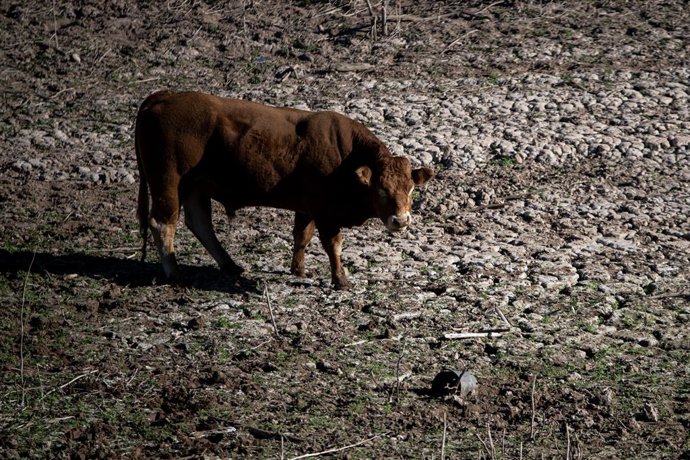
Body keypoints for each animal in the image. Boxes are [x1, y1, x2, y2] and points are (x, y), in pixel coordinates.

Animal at [135, 90, 433, 290]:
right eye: (381, 189)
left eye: (410, 189)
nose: (400, 220)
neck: (345, 156)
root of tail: (162, 96)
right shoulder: (325, 213)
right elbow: (333, 245)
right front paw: (341, 280)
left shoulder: (307, 207)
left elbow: (302, 236)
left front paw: (298, 270)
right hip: (168, 181)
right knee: (162, 223)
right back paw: (174, 273)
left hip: (195, 186)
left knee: (200, 223)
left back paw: (230, 265)